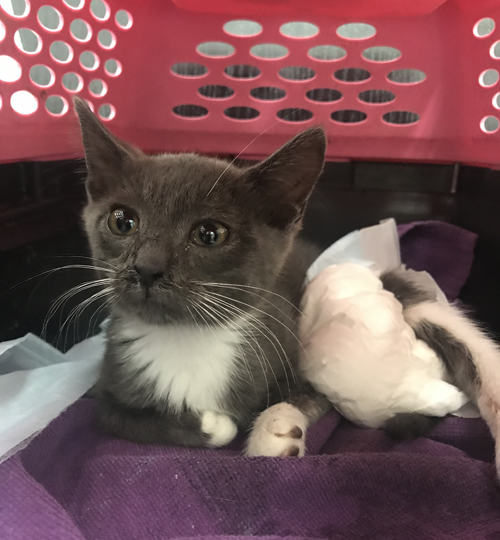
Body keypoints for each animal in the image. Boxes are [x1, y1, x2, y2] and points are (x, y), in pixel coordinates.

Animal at [74, 98, 330, 456]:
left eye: (210, 234)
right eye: (122, 221)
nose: (146, 267)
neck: (186, 338)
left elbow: (306, 397)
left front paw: (275, 432)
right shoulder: (105, 395)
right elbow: (132, 422)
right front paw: (215, 424)